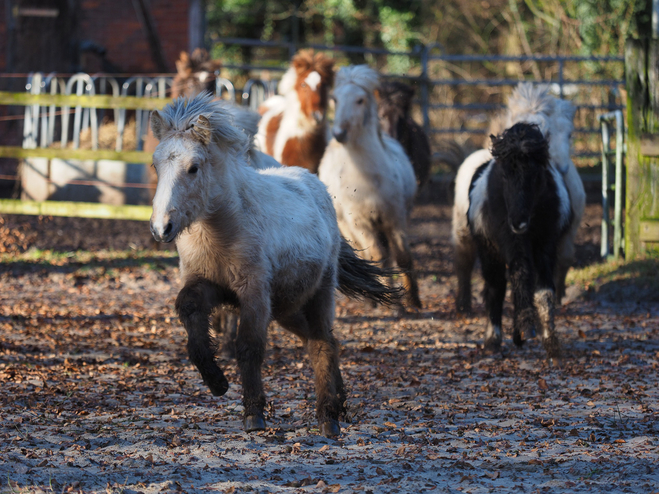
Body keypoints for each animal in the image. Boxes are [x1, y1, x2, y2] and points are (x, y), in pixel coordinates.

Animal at [150, 92, 398, 436]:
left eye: (193, 168)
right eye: (156, 164)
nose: (162, 228)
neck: (219, 232)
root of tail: (314, 182)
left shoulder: (253, 292)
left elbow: (249, 346)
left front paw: (254, 414)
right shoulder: (208, 285)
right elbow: (188, 311)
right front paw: (216, 382)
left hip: (319, 293)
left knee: (322, 343)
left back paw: (328, 417)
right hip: (287, 307)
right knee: (320, 340)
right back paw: (341, 403)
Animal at [318, 63, 420, 306]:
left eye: (360, 100)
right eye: (335, 99)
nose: (339, 133)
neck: (367, 179)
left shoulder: (395, 217)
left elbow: (402, 256)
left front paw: (413, 301)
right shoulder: (359, 222)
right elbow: (376, 256)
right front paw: (389, 300)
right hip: (347, 226)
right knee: (369, 255)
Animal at [454, 82, 588, 310]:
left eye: (570, 134)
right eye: (548, 133)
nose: (562, 168)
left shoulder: (565, 232)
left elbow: (563, 260)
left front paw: (558, 297)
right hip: (463, 231)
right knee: (464, 261)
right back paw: (464, 304)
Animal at [458, 121, 572, 356]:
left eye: (536, 174)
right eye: (504, 175)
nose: (518, 223)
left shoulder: (546, 244)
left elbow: (544, 290)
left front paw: (550, 340)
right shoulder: (511, 243)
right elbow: (519, 277)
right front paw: (526, 327)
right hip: (488, 250)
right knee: (496, 286)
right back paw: (493, 339)